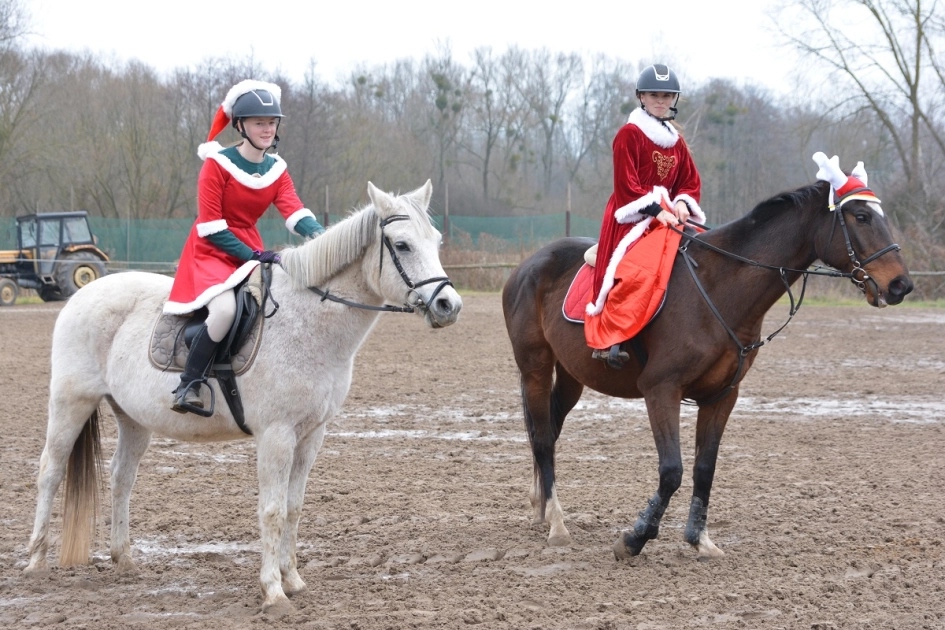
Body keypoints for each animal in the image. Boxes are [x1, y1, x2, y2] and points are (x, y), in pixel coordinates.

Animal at [24, 180, 462, 616]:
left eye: (436, 240)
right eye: (402, 245)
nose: (449, 305)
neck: (306, 324)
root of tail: (85, 292)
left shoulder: (311, 435)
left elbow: (294, 507)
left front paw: (293, 580)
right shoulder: (277, 435)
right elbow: (272, 510)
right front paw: (273, 591)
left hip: (133, 419)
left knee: (121, 478)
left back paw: (124, 559)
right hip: (71, 402)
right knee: (50, 472)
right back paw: (35, 561)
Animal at [502, 175, 916, 560]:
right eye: (861, 216)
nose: (901, 285)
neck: (719, 287)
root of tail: (528, 264)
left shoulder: (721, 397)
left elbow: (705, 468)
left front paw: (699, 539)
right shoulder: (661, 390)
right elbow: (672, 470)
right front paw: (635, 538)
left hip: (571, 376)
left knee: (549, 431)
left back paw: (542, 507)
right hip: (535, 367)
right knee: (542, 437)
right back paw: (557, 524)